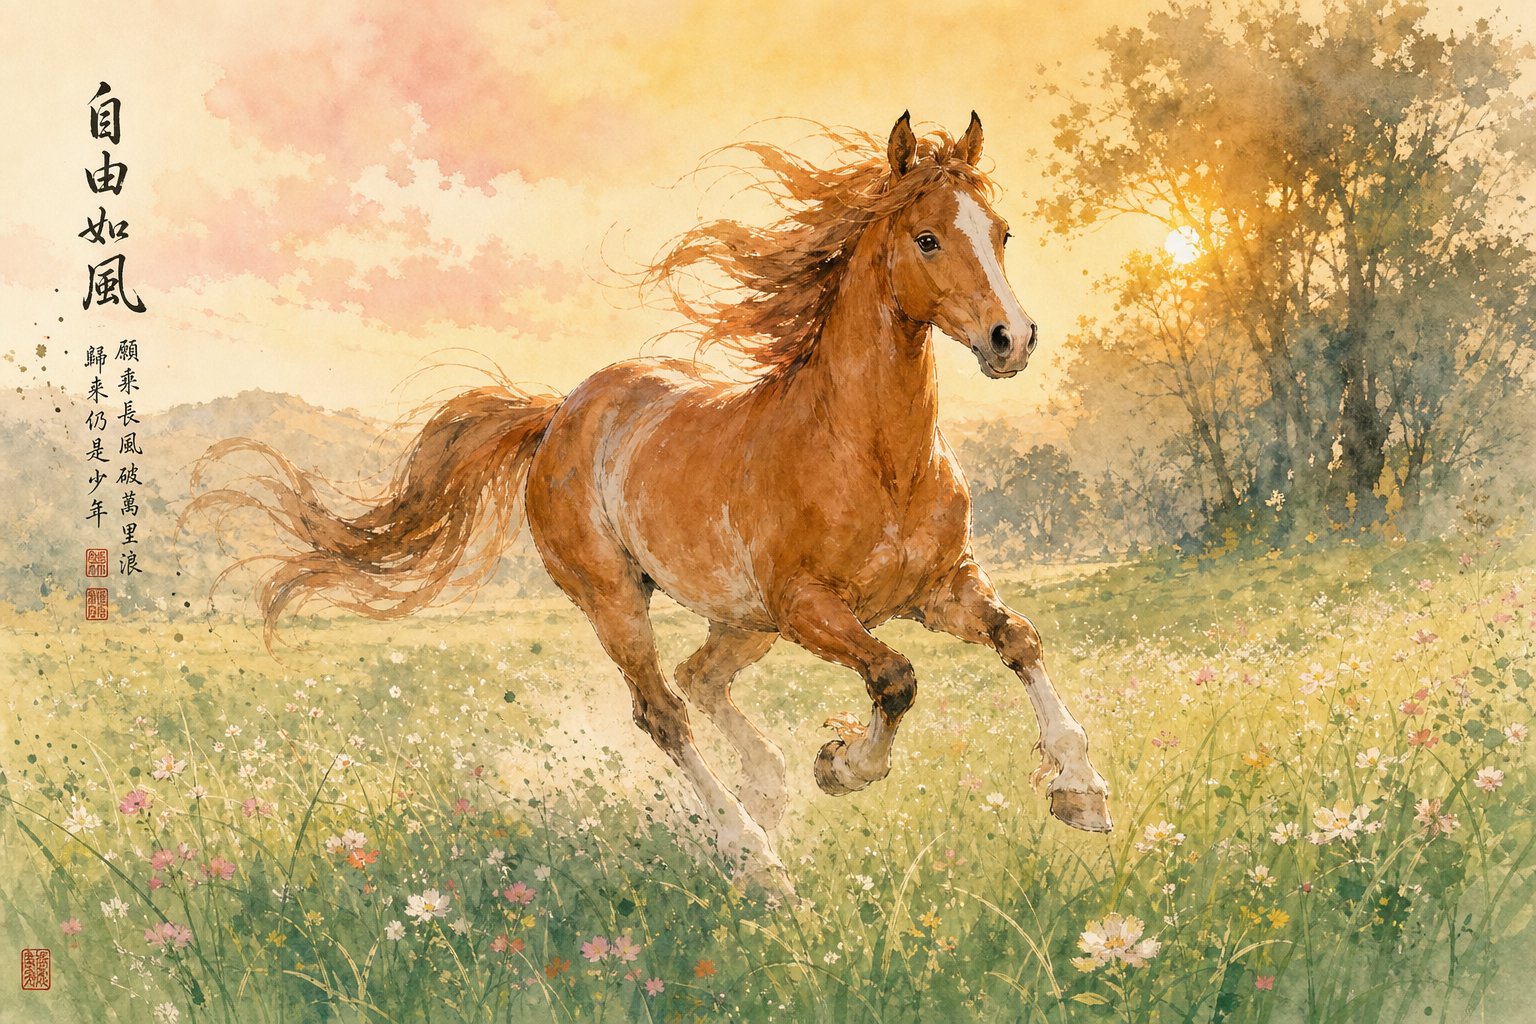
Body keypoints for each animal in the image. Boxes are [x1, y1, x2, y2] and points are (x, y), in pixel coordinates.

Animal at [191, 112, 1112, 893]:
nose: (1012, 340)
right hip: (621, 603)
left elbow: (1019, 641)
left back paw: (770, 790)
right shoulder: (814, 608)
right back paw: (755, 854)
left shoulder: (941, 587)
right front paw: (844, 766)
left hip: (742, 618)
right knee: (664, 712)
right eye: (926, 238)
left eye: (1002, 232)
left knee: (701, 680)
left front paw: (1082, 793)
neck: (869, 453)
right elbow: (895, 679)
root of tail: (558, 414)